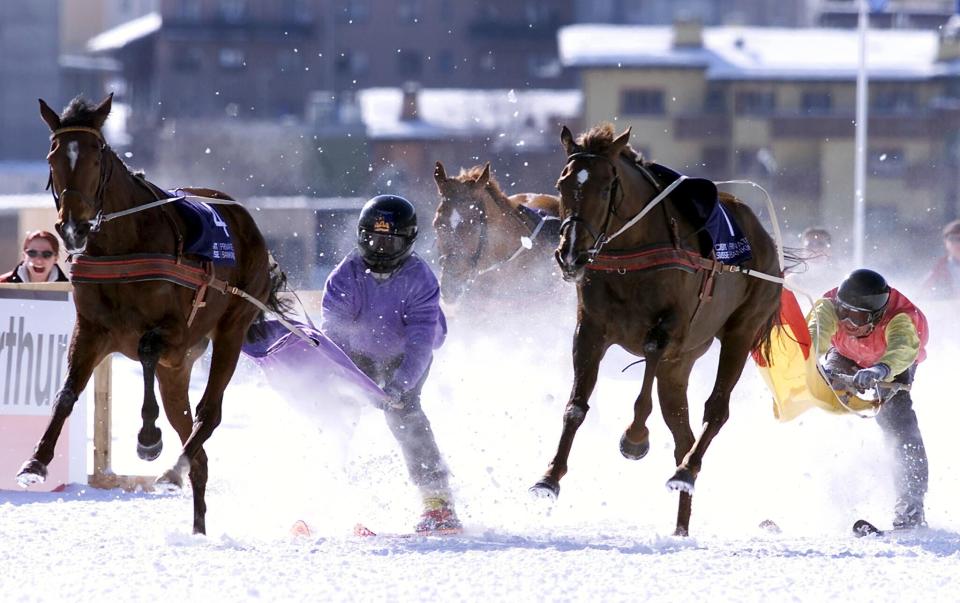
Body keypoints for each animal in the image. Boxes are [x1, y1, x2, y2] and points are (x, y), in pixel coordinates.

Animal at [18, 93, 284, 532]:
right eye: (53, 156)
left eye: (96, 156)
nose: (73, 227)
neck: (123, 245)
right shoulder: (91, 330)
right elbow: (67, 391)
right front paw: (35, 462)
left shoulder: (174, 331)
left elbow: (145, 351)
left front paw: (148, 438)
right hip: (177, 371)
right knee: (196, 445)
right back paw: (195, 518)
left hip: (232, 326)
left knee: (208, 413)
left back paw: (173, 466)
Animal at [528, 121, 784, 532]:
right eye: (562, 184)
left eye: (606, 187)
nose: (570, 254)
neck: (630, 253)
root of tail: (766, 239)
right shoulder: (590, 329)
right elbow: (576, 405)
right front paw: (549, 478)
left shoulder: (671, 327)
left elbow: (649, 356)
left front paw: (635, 437)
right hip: (680, 365)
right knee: (683, 435)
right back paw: (680, 523)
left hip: (741, 330)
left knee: (716, 410)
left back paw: (686, 472)